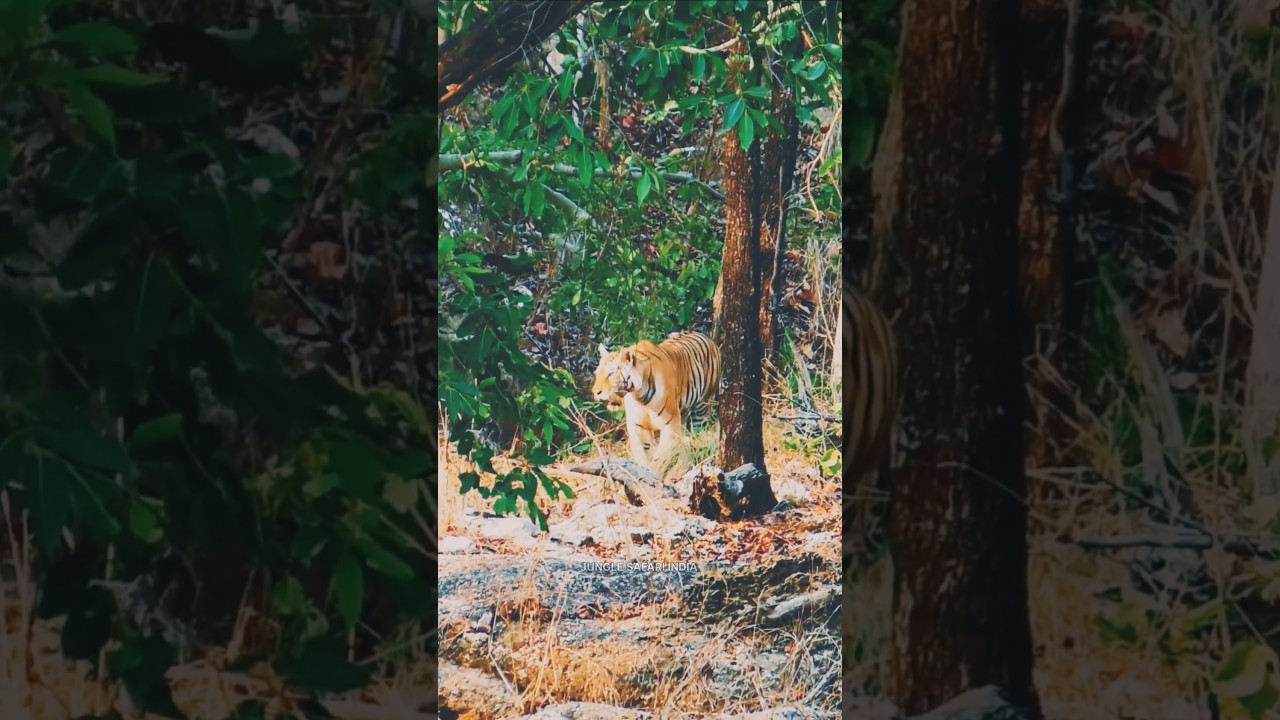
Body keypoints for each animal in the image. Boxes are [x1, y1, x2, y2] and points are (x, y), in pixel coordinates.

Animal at [592, 331, 722, 473]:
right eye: (597, 373)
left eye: (610, 374)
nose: (595, 392)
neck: (639, 395)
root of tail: (707, 338)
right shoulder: (637, 426)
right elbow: (642, 454)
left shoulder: (670, 426)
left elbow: (660, 458)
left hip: (702, 409)